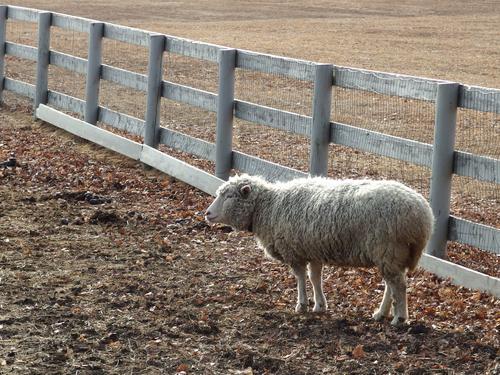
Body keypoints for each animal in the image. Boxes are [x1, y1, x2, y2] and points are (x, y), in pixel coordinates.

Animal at [206, 175, 434, 324]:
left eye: (228, 196)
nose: (207, 213)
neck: (267, 207)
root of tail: (424, 216)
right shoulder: (312, 249)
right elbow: (315, 277)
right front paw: (320, 305)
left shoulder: (293, 251)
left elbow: (300, 278)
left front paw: (302, 305)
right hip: (391, 254)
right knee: (391, 285)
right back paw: (381, 313)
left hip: (388, 248)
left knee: (399, 285)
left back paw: (399, 318)